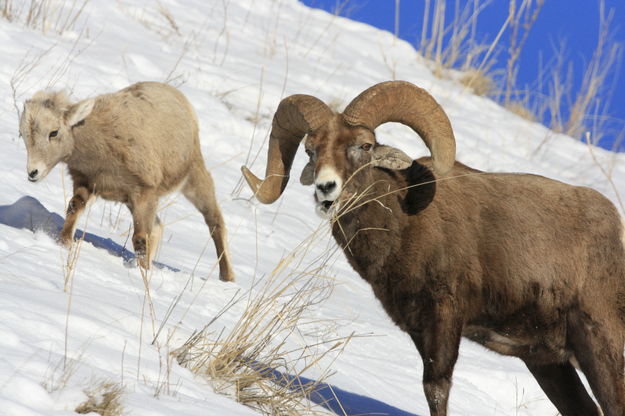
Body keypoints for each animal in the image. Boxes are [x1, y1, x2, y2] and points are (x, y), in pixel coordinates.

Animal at [20, 81, 234, 282]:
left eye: (54, 132)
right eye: (23, 134)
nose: (33, 172)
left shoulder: (143, 194)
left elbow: (139, 239)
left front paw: (143, 275)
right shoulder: (87, 183)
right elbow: (73, 209)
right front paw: (64, 244)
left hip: (193, 179)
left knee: (215, 222)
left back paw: (227, 277)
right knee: (158, 227)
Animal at [243, 80, 624, 416]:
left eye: (364, 146)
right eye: (311, 150)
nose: (326, 189)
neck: (402, 224)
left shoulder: (445, 316)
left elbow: (436, 388)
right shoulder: (419, 327)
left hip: (601, 348)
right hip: (548, 364)